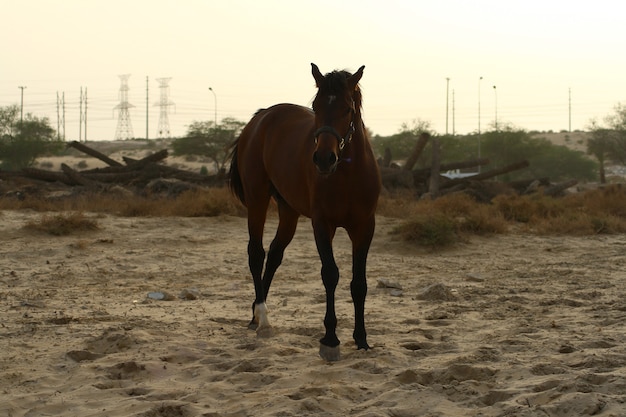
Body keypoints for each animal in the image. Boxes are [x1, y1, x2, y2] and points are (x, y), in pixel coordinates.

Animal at [227, 63, 378, 360]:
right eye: (316, 106)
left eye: (347, 108)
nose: (324, 159)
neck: (348, 175)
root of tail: (262, 117)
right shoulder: (323, 224)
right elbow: (330, 274)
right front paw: (330, 340)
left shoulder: (365, 227)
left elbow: (359, 283)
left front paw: (362, 339)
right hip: (258, 199)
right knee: (256, 253)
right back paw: (262, 317)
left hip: (289, 211)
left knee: (274, 254)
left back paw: (255, 314)